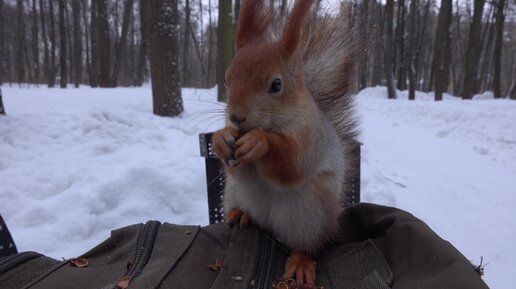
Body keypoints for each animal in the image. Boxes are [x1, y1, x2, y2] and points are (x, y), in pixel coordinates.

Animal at [212, 0, 356, 284]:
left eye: (276, 85)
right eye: (226, 78)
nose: (236, 116)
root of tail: (271, 225)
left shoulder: (311, 138)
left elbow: (291, 165)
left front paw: (260, 142)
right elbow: (238, 169)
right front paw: (221, 138)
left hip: (312, 213)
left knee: (309, 245)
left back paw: (301, 262)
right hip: (233, 192)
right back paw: (241, 213)